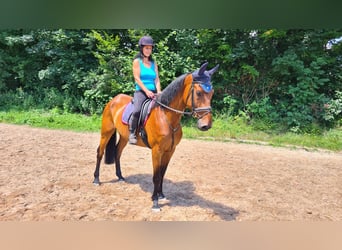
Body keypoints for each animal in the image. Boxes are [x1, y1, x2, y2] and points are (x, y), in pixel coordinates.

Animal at [93, 62, 219, 211]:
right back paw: (96, 179)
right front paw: (155, 202)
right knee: (100, 152)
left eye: (212, 93)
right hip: (106, 132)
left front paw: (161, 195)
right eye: (199, 93)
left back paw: (120, 177)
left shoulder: (170, 150)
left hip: (124, 136)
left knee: (118, 152)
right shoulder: (156, 150)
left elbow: (163, 173)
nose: (206, 125)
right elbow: (156, 176)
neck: (166, 117)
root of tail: (114, 99)